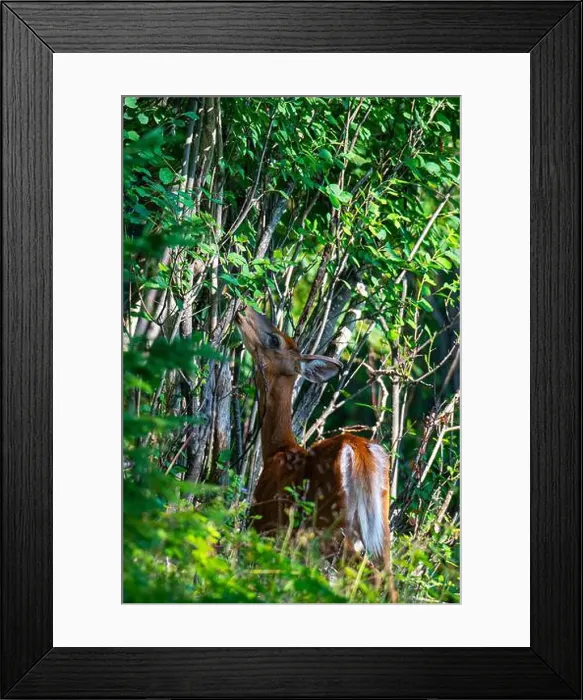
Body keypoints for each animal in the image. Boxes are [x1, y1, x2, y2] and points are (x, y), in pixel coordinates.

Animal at [235, 305, 397, 601]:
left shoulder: (263, 521)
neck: (277, 449)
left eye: (275, 339)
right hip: (380, 524)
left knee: (368, 574)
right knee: (388, 578)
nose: (243, 310)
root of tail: (359, 449)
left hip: (329, 521)